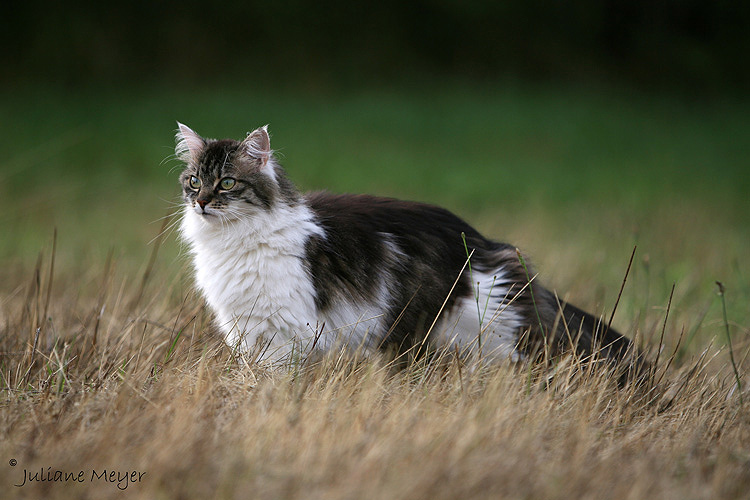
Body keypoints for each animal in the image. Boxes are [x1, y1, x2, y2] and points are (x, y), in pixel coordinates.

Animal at [176, 123, 640, 370]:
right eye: (194, 181)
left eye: (228, 183)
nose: (202, 203)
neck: (231, 242)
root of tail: (486, 241)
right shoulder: (247, 329)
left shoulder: (285, 333)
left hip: (482, 334)